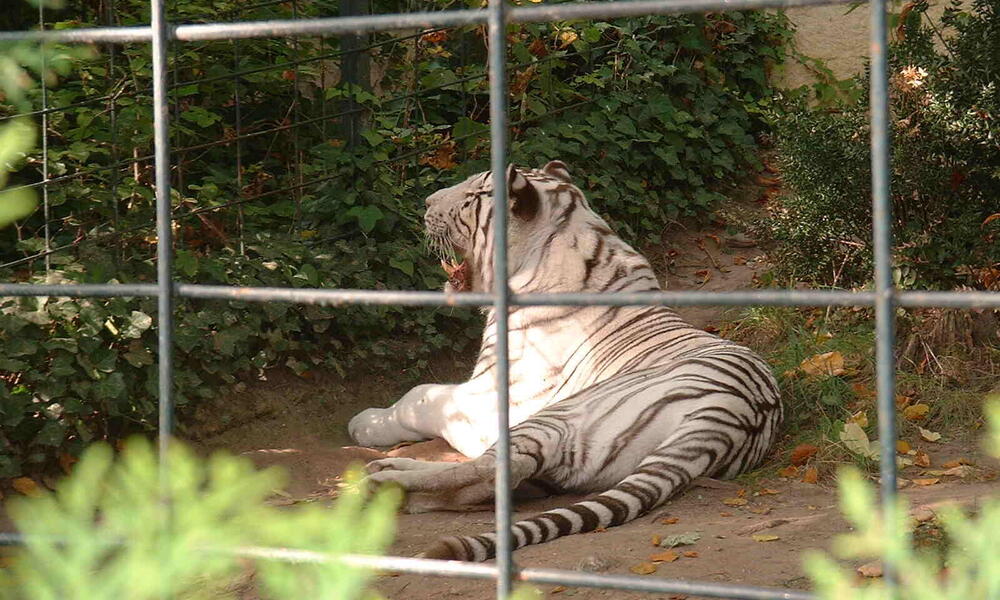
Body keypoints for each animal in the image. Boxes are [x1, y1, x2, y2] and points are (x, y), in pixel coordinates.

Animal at [348, 162, 784, 560]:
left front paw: (365, 424)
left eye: (472, 195)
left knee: (497, 468)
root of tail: (728, 418)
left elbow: (423, 396)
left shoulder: (489, 399)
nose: (426, 202)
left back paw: (382, 480)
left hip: (557, 416)